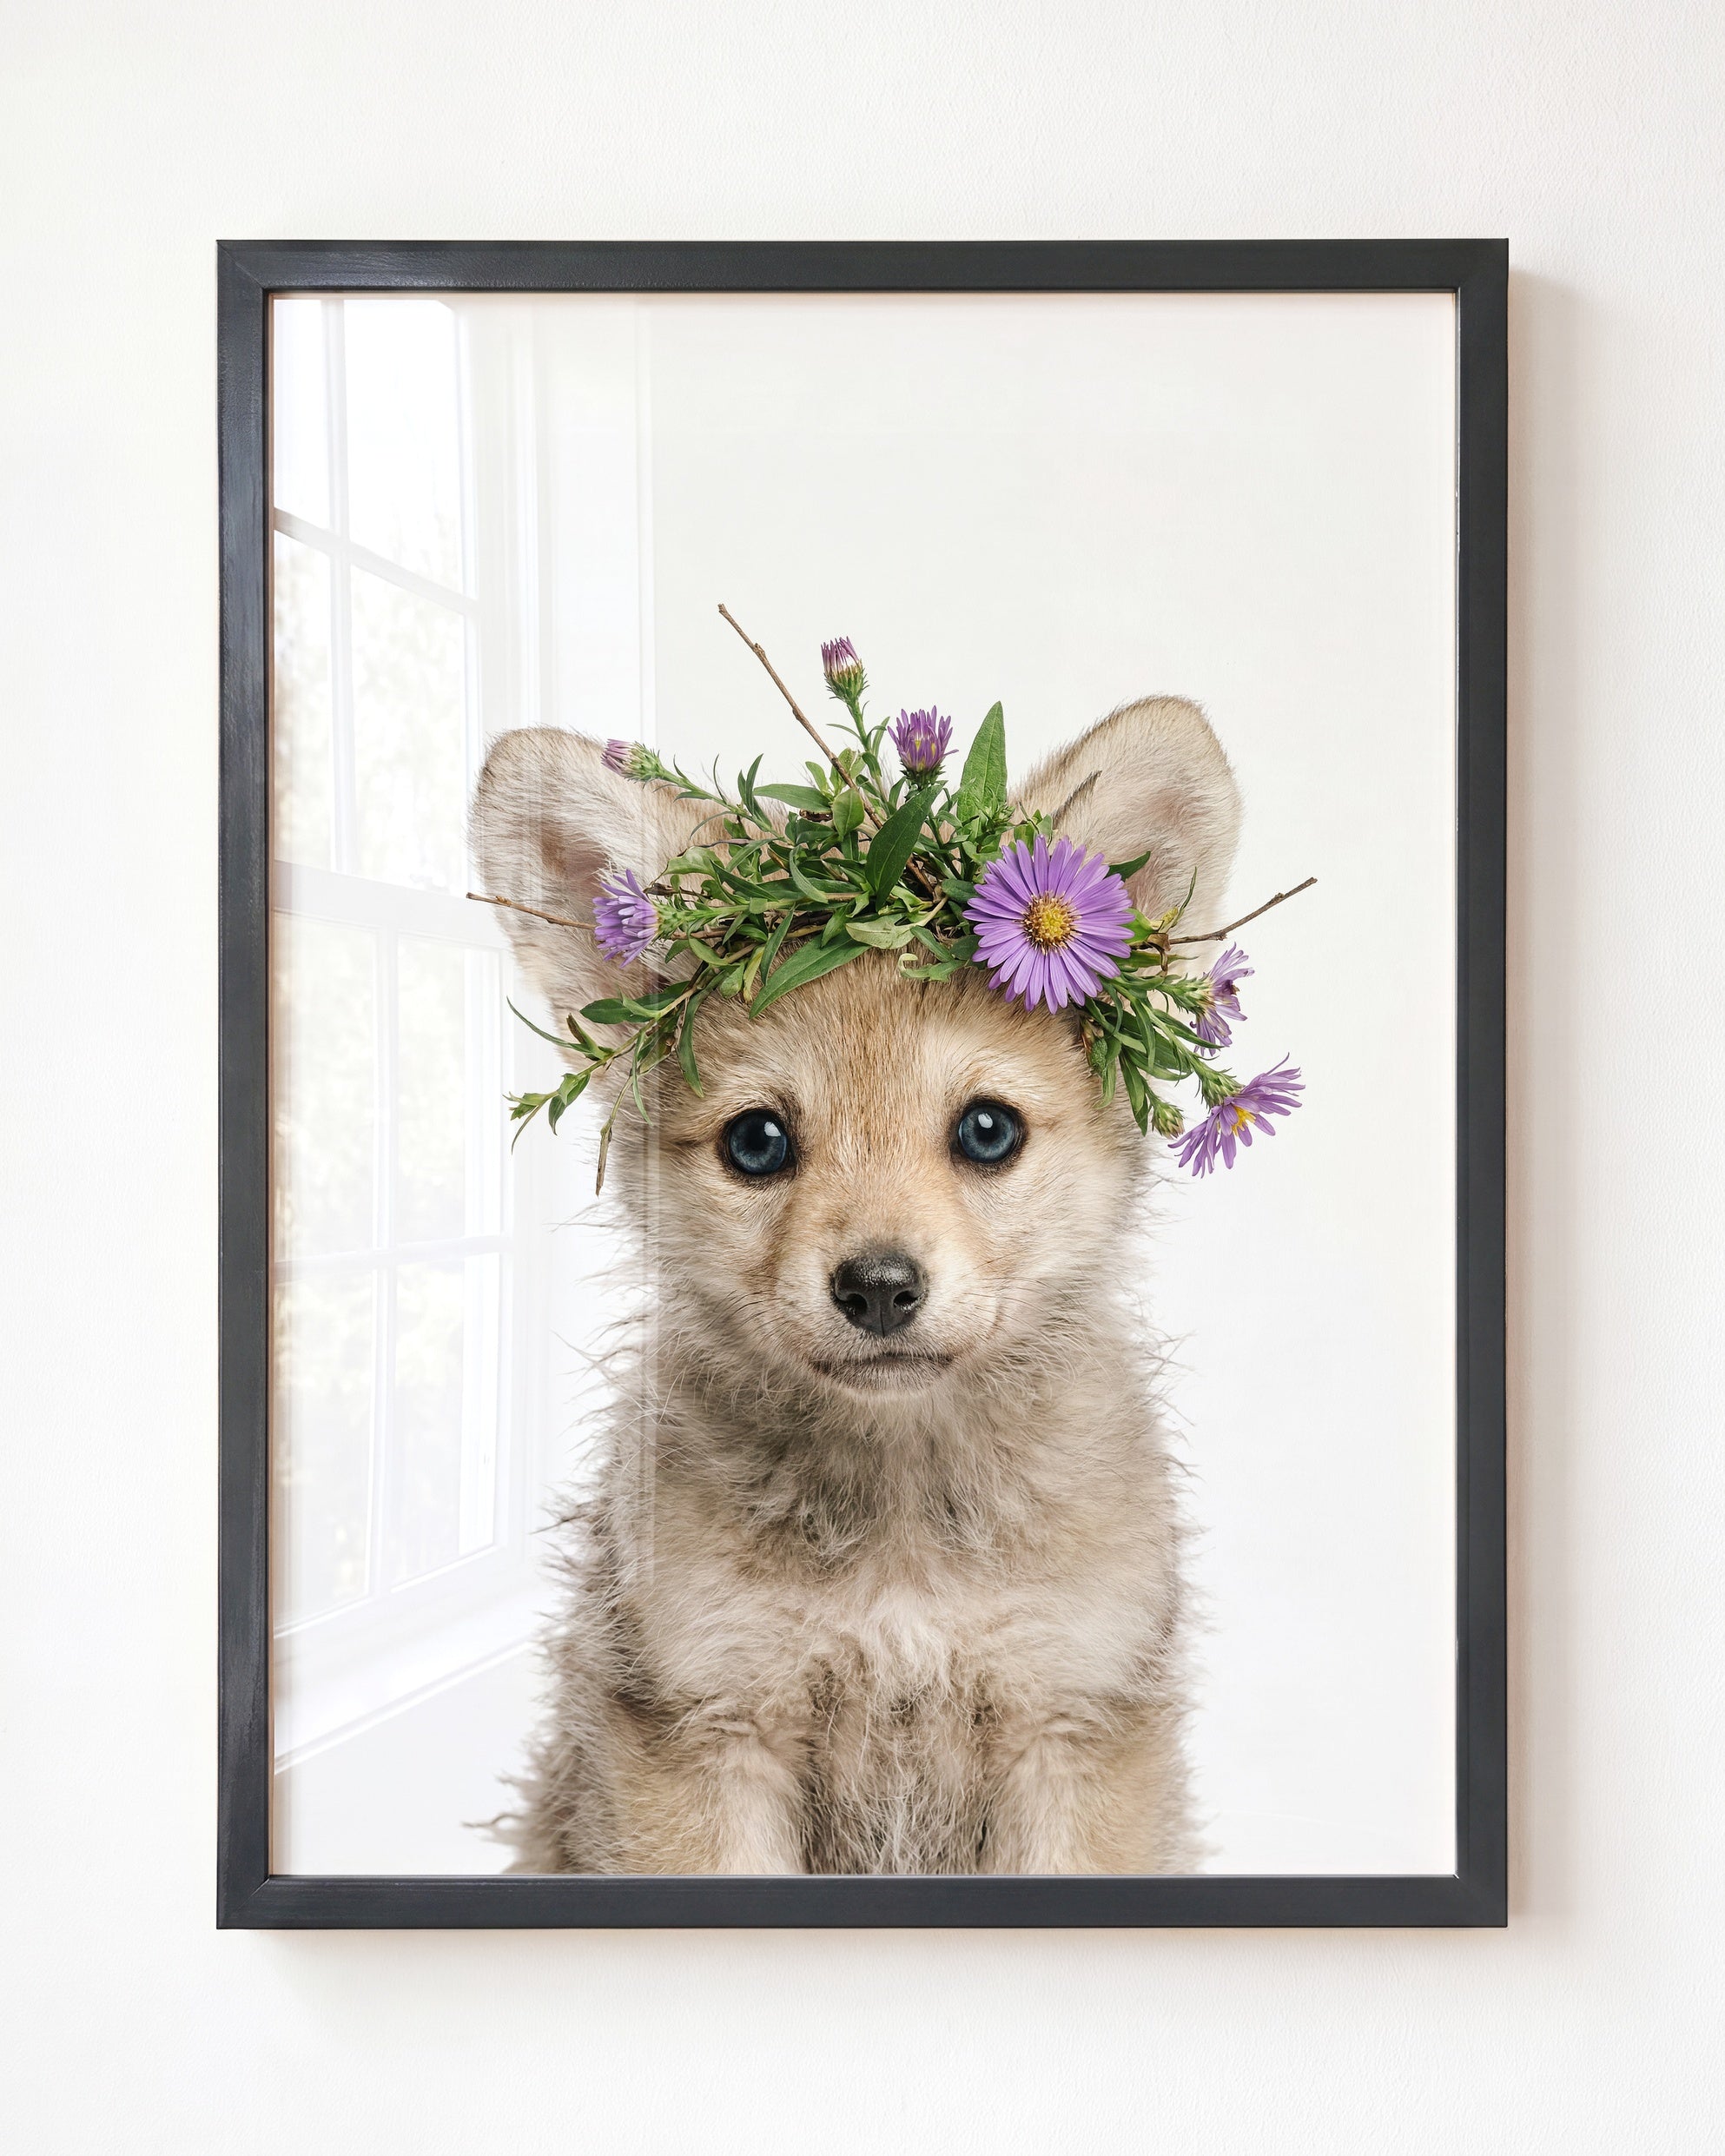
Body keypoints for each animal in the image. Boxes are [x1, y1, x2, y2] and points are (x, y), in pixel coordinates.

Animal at [470, 696, 1240, 1874]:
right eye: (756, 1141)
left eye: (987, 1130)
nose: (879, 1287)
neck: (902, 1527)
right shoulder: (709, 1728)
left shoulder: (1070, 1722)